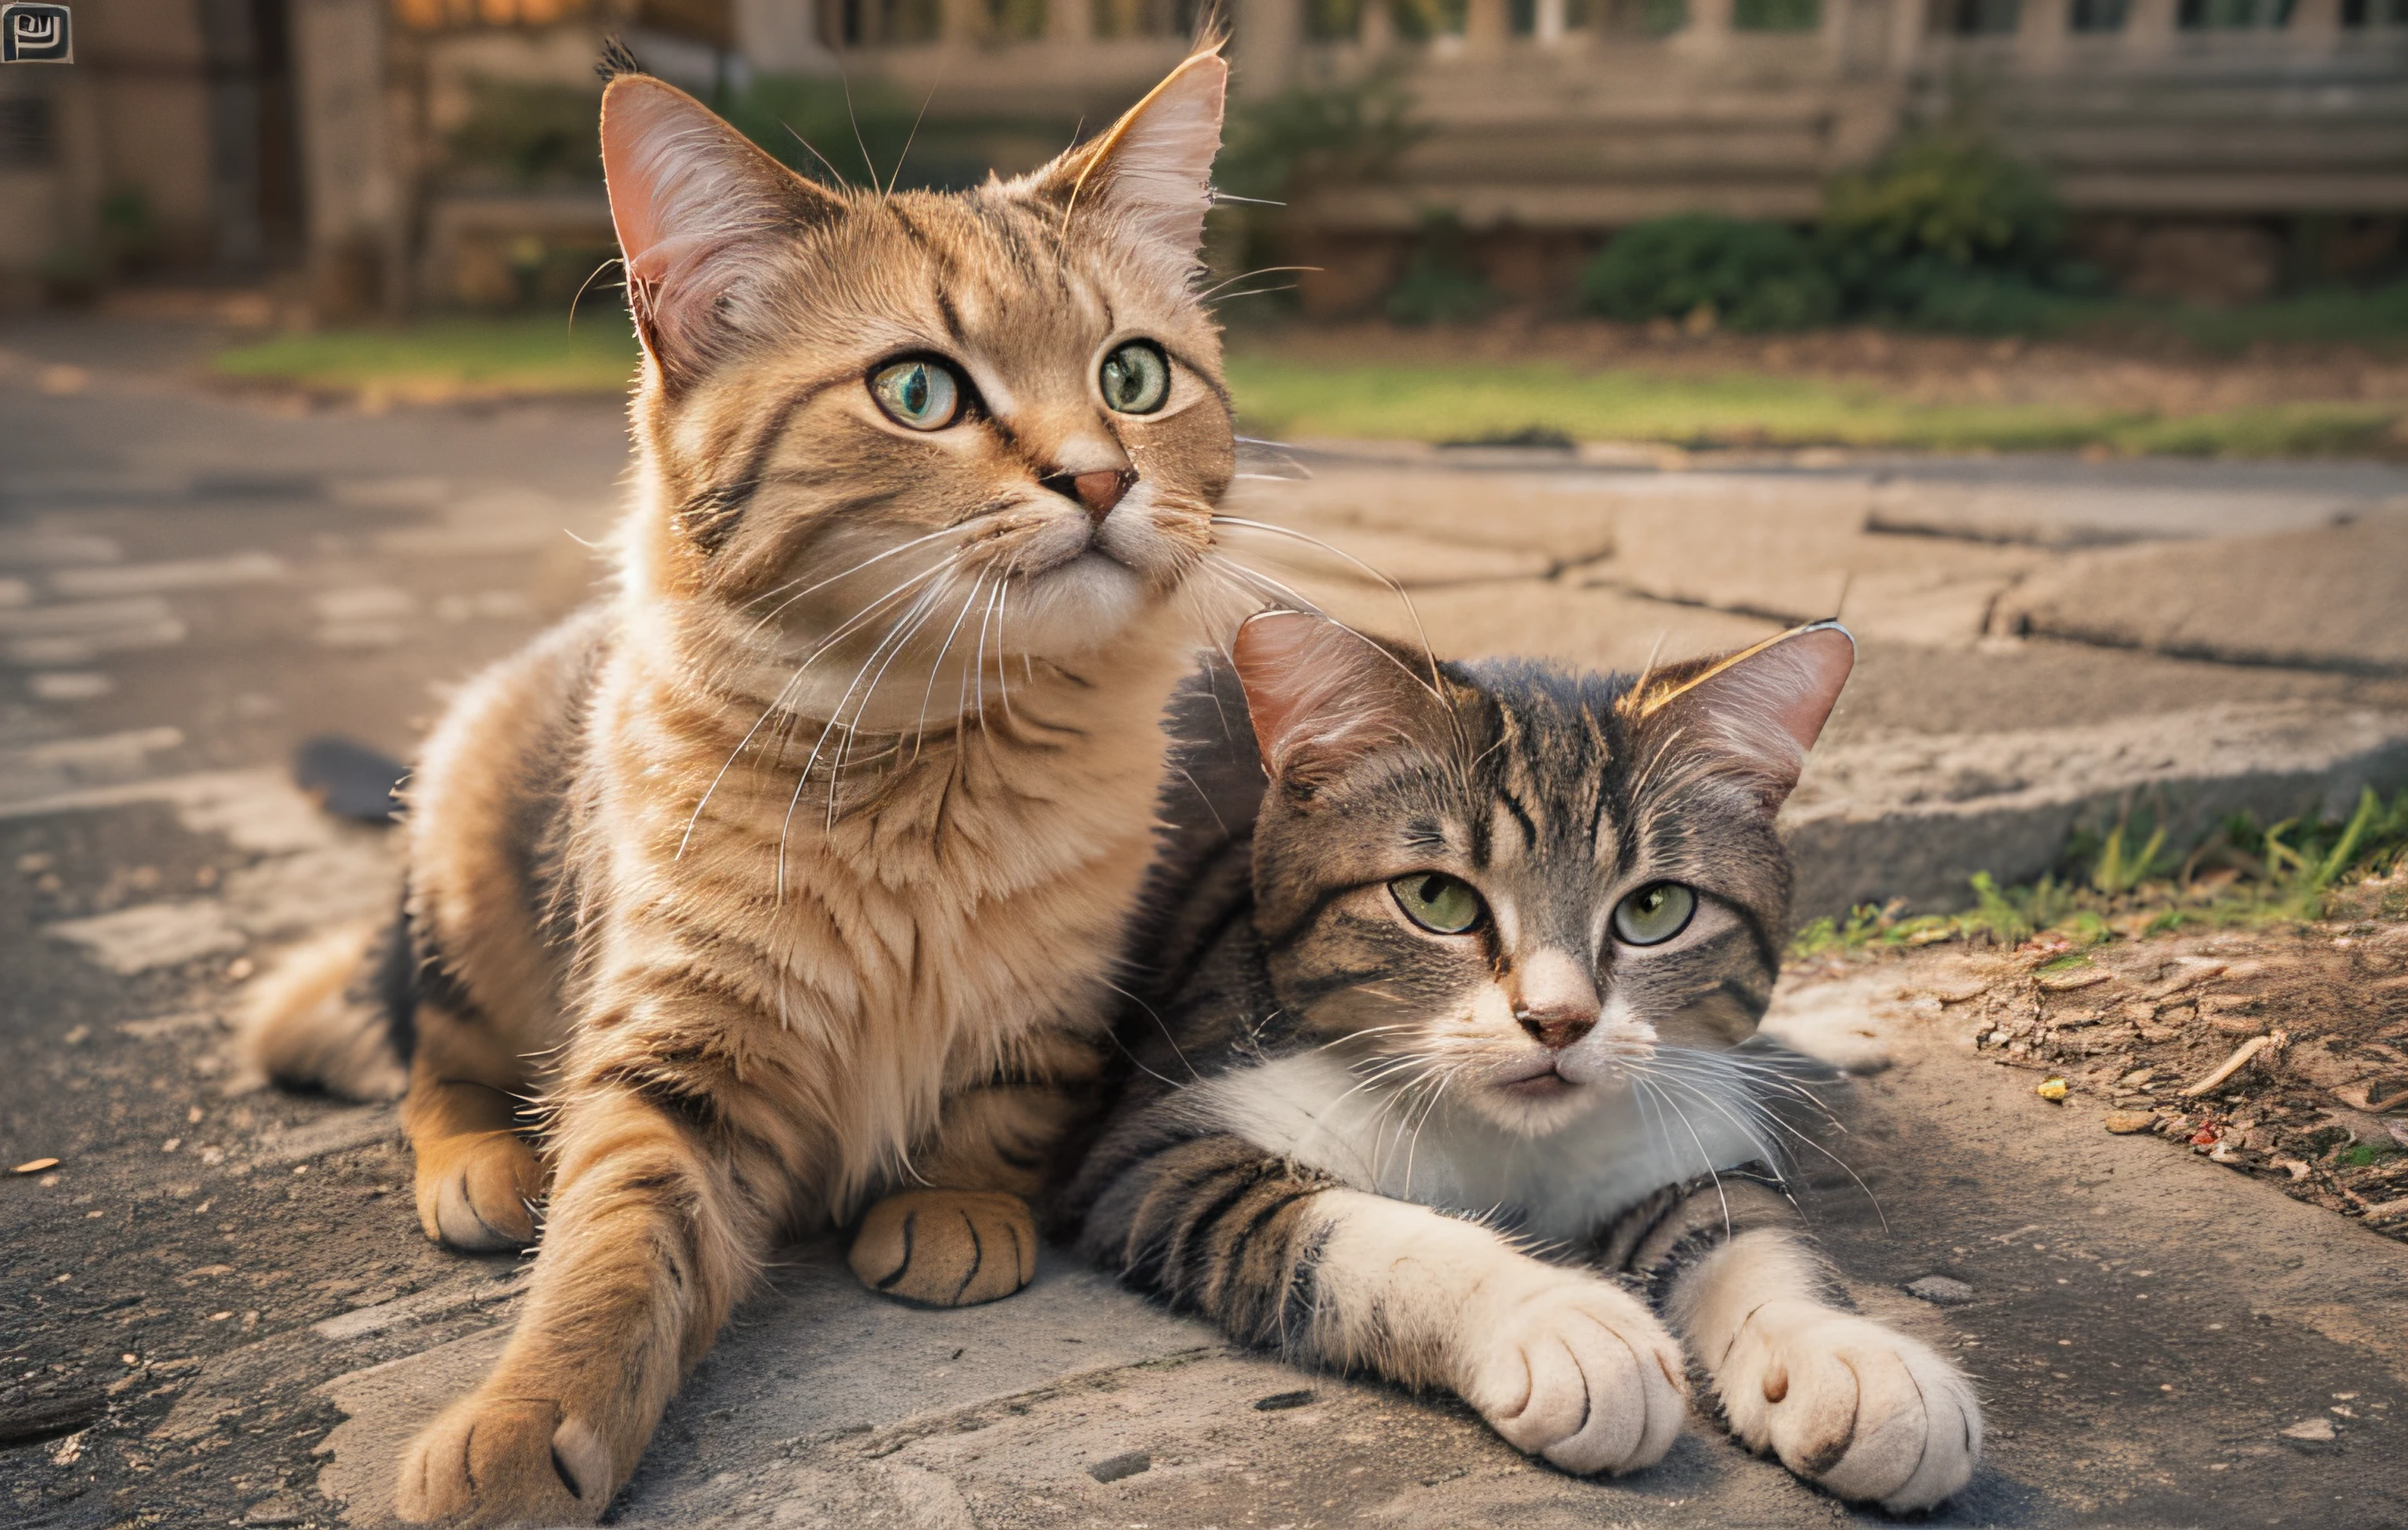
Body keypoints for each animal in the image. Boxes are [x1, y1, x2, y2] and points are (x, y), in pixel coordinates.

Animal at [246, 42, 1242, 1522]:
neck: (937, 759)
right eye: (919, 393)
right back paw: (480, 1163)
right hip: (465, 883)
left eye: (1133, 375)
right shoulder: (671, 1052)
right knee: (431, 1053)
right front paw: (522, 1421)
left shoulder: (1061, 998)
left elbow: (998, 1110)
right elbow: (611, 1253)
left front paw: (954, 1203)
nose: (1104, 478)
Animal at [1064, 607, 1984, 1513]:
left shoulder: (1672, 1137)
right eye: (1435, 897)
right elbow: (1369, 1233)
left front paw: (1854, 1356)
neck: (1513, 1140)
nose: (1558, 1020)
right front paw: (1555, 1315)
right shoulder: (1163, 1155)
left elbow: (1756, 1239)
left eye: (1656, 907)